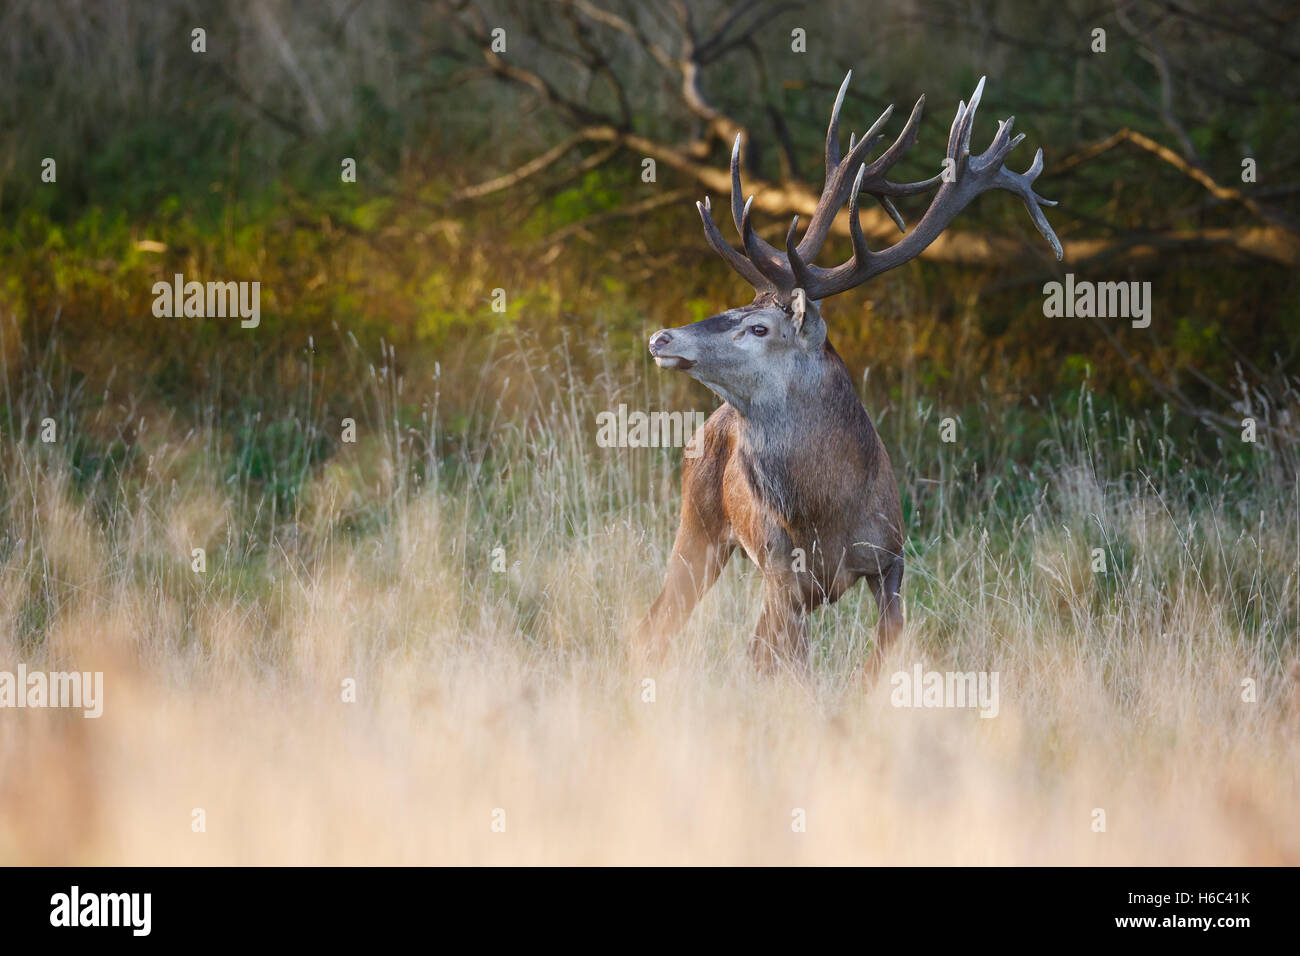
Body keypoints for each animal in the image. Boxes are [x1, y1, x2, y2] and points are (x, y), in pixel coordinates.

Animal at [636, 71, 1062, 675]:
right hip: (697, 522)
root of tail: (709, 424)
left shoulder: (891, 553)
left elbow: (882, 649)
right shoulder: (783, 573)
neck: (827, 513)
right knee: (661, 626)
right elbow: (784, 661)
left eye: (760, 326)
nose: (662, 337)